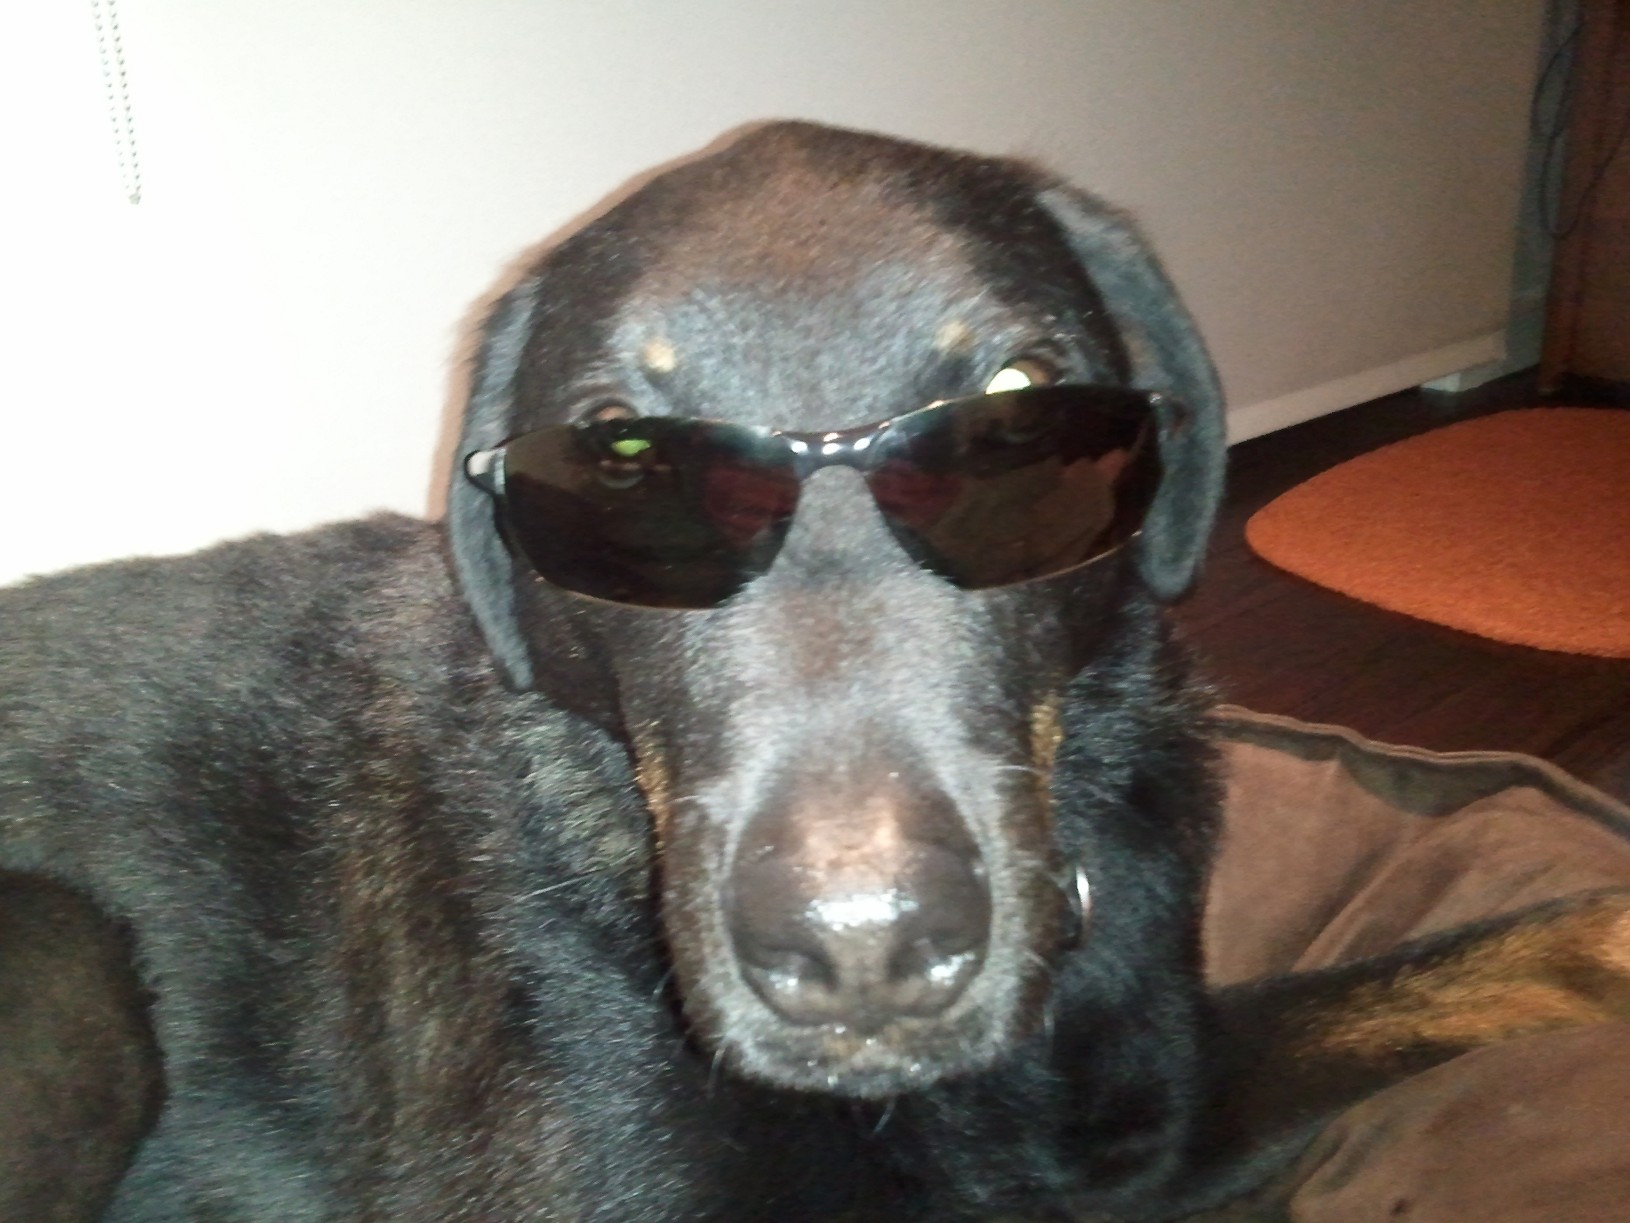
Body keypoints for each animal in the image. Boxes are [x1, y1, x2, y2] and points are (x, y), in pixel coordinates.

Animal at [5, 120, 1630, 1222]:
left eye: (1019, 412)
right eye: (618, 456)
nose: (864, 951)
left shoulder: (1153, 1116)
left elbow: (1456, 968)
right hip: (69, 956)